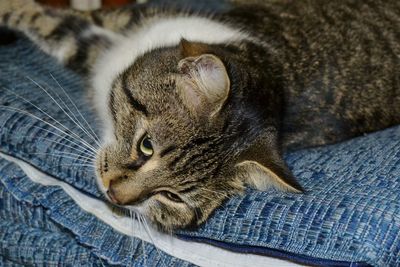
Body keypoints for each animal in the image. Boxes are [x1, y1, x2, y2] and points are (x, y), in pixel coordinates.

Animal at [0, 0, 398, 231]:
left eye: (174, 198)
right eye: (146, 146)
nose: (115, 197)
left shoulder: (90, 50)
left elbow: (60, 30)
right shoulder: (131, 17)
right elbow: (71, 15)